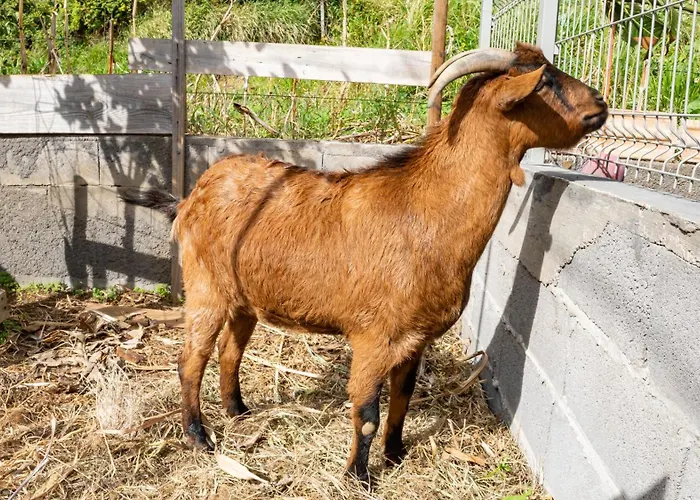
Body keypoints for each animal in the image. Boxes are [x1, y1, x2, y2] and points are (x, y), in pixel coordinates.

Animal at [121, 43, 608, 484]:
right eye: (544, 81)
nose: (601, 104)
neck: (426, 210)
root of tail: (190, 197)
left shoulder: (416, 338)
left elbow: (403, 399)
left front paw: (396, 454)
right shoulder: (375, 337)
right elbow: (367, 410)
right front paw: (359, 475)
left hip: (245, 299)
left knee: (229, 350)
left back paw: (238, 411)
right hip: (206, 287)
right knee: (191, 358)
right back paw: (199, 436)